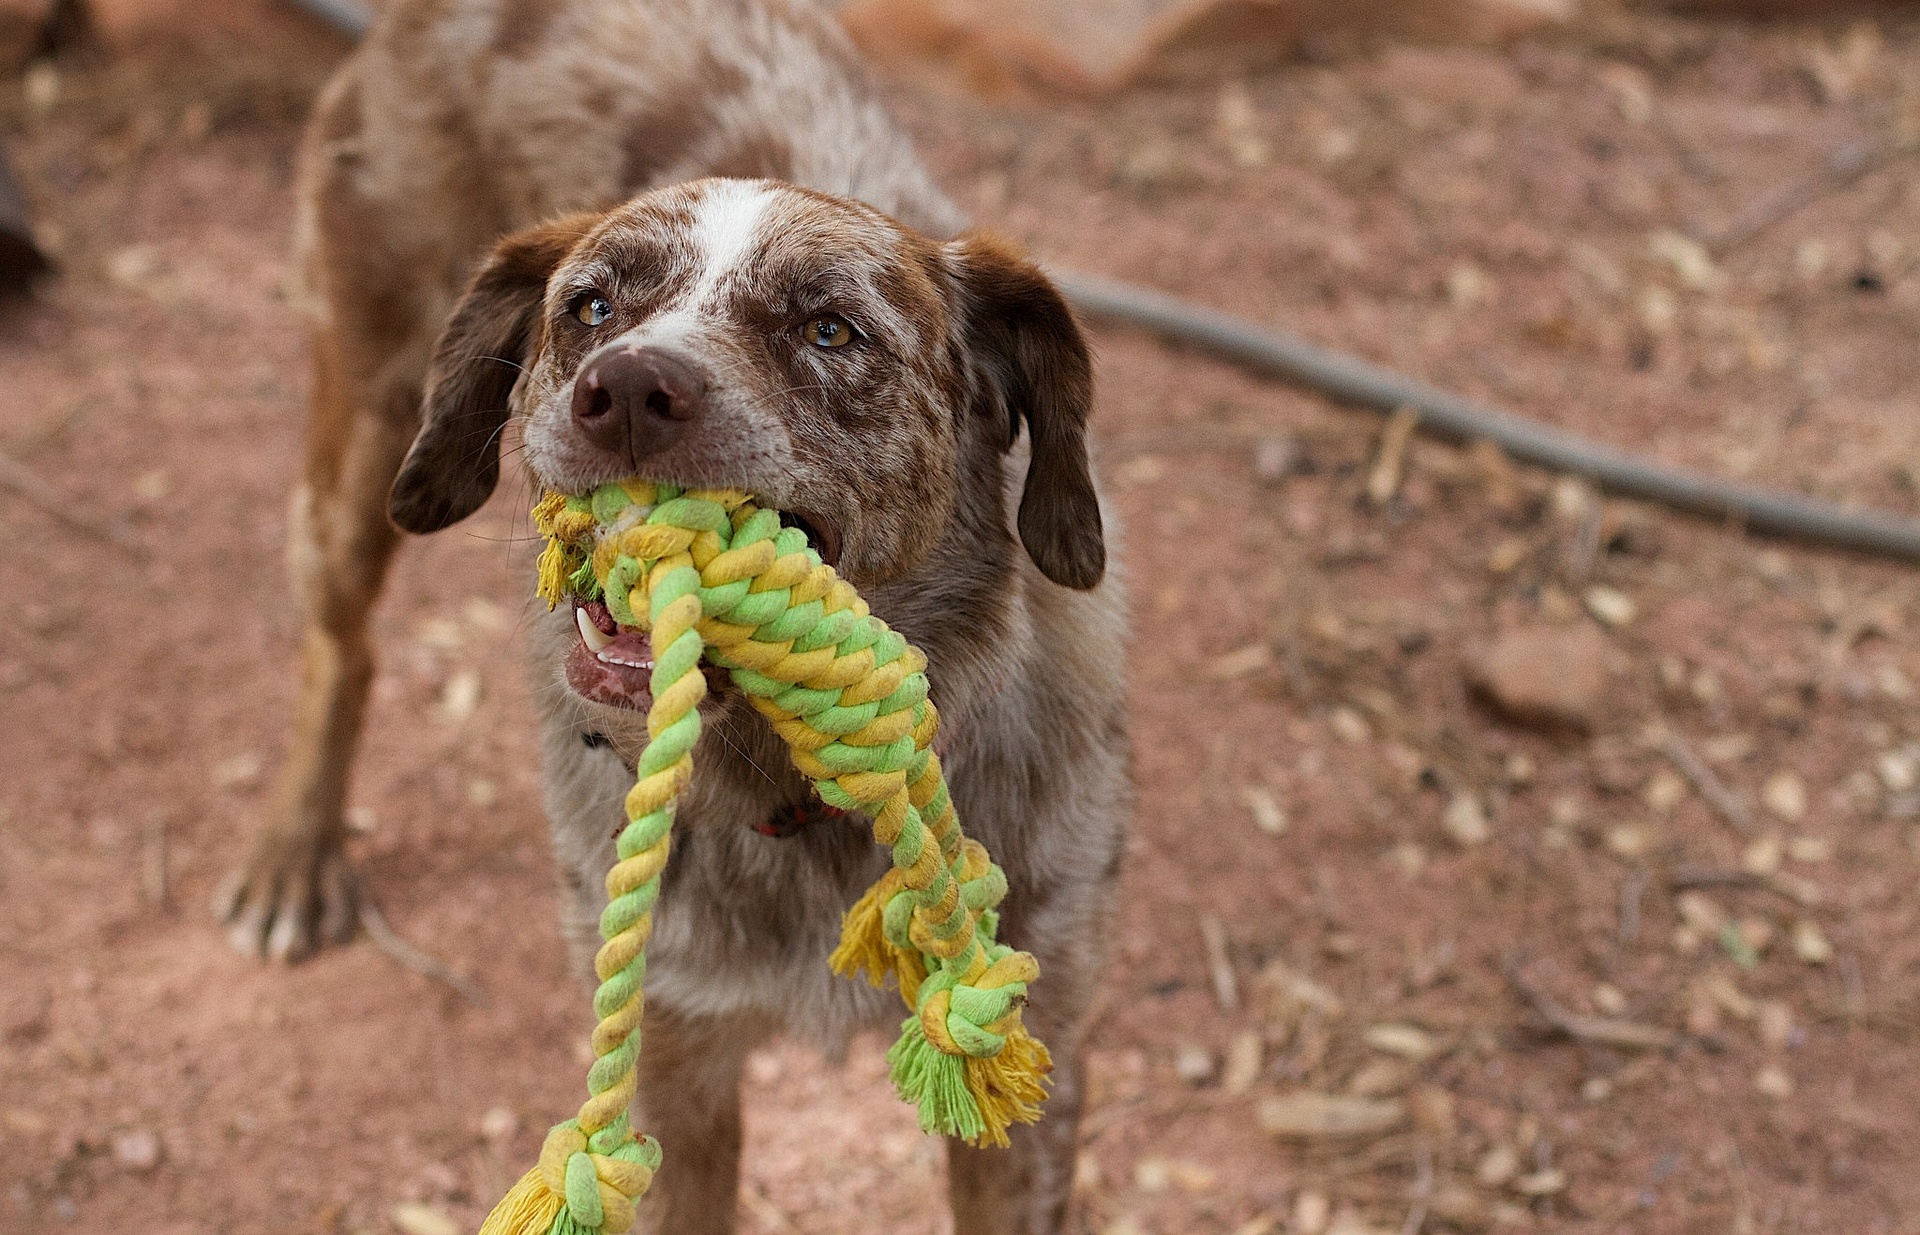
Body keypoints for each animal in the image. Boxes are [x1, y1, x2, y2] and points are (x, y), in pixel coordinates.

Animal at [217, 4, 1128, 1229]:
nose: (626, 391)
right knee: (340, 645)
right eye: (591, 307)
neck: (801, 796)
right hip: (365, 434)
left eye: (831, 330)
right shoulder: (670, 1070)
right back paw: (293, 855)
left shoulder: (1038, 1069)